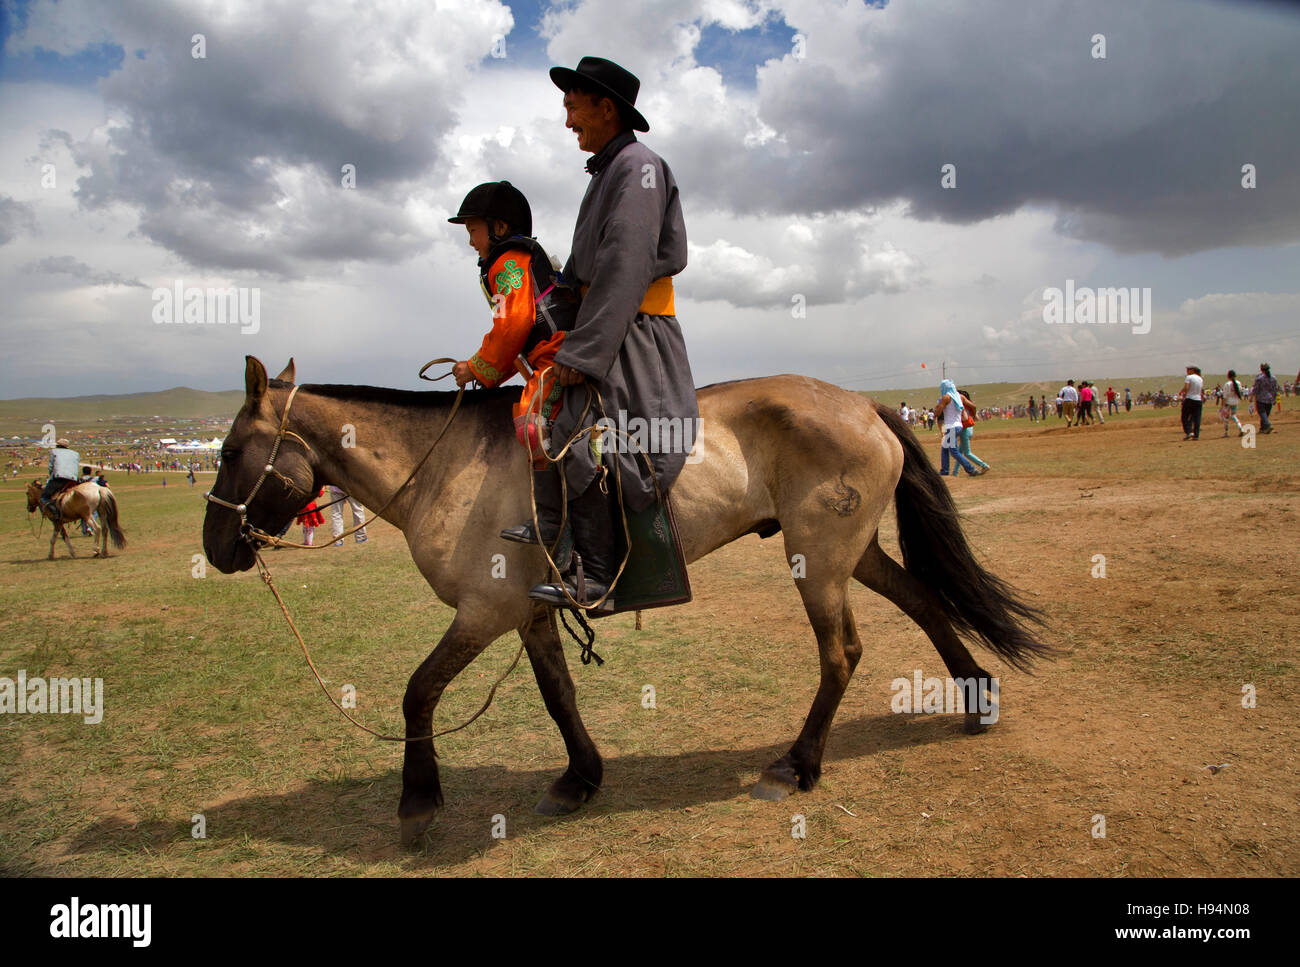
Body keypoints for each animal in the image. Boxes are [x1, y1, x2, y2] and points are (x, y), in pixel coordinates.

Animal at [203, 357, 1048, 845]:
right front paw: (581, 776)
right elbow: (558, 695)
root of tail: (866, 404)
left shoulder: (483, 612)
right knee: (925, 600)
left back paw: (797, 763)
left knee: (841, 650)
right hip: (852, 553)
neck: (447, 466)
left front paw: (418, 800)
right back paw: (975, 695)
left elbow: (419, 690)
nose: (215, 547)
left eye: (232, 449)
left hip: (820, 561)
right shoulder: (529, 612)